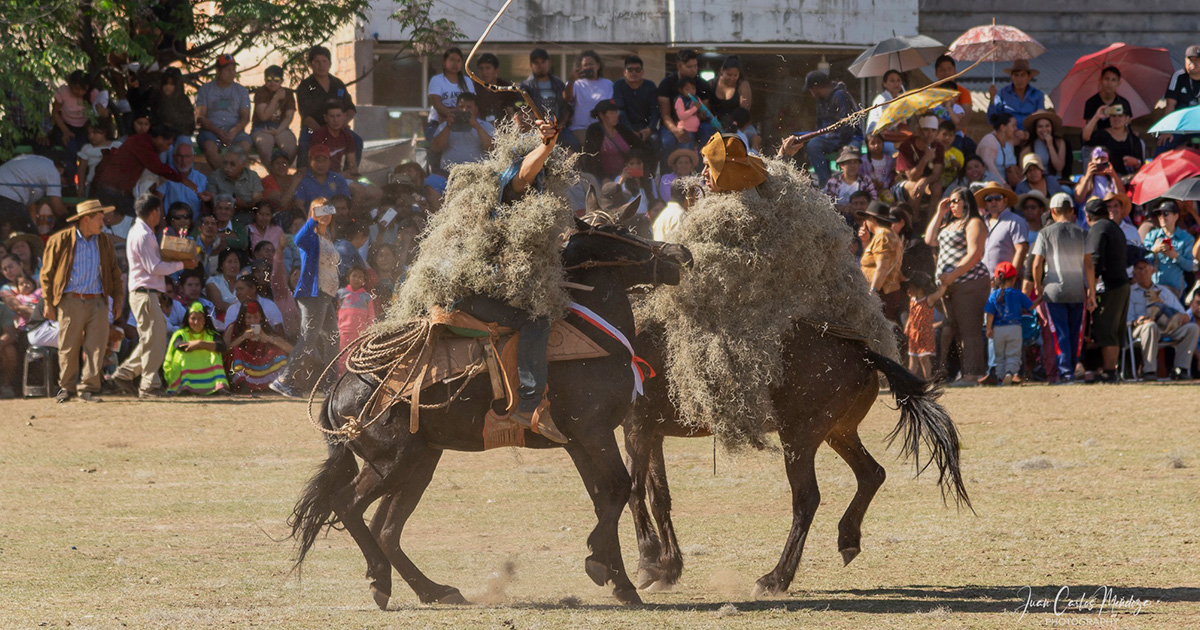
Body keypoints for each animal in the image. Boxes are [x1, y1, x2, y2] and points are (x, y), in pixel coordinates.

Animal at [289, 217, 696, 609]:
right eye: (623, 231)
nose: (681, 252)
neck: (593, 333)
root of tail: (339, 388)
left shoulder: (579, 442)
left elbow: (604, 498)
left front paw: (620, 580)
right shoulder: (595, 432)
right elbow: (618, 489)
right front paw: (603, 565)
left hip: (419, 462)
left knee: (385, 529)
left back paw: (433, 590)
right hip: (391, 462)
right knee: (348, 506)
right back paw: (381, 580)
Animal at [624, 321, 969, 592]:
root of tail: (863, 353)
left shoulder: (635, 427)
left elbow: (632, 492)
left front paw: (648, 562)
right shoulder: (649, 431)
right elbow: (658, 498)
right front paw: (667, 568)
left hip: (799, 438)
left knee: (807, 498)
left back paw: (776, 578)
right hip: (839, 432)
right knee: (872, 474)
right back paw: (847, 538)